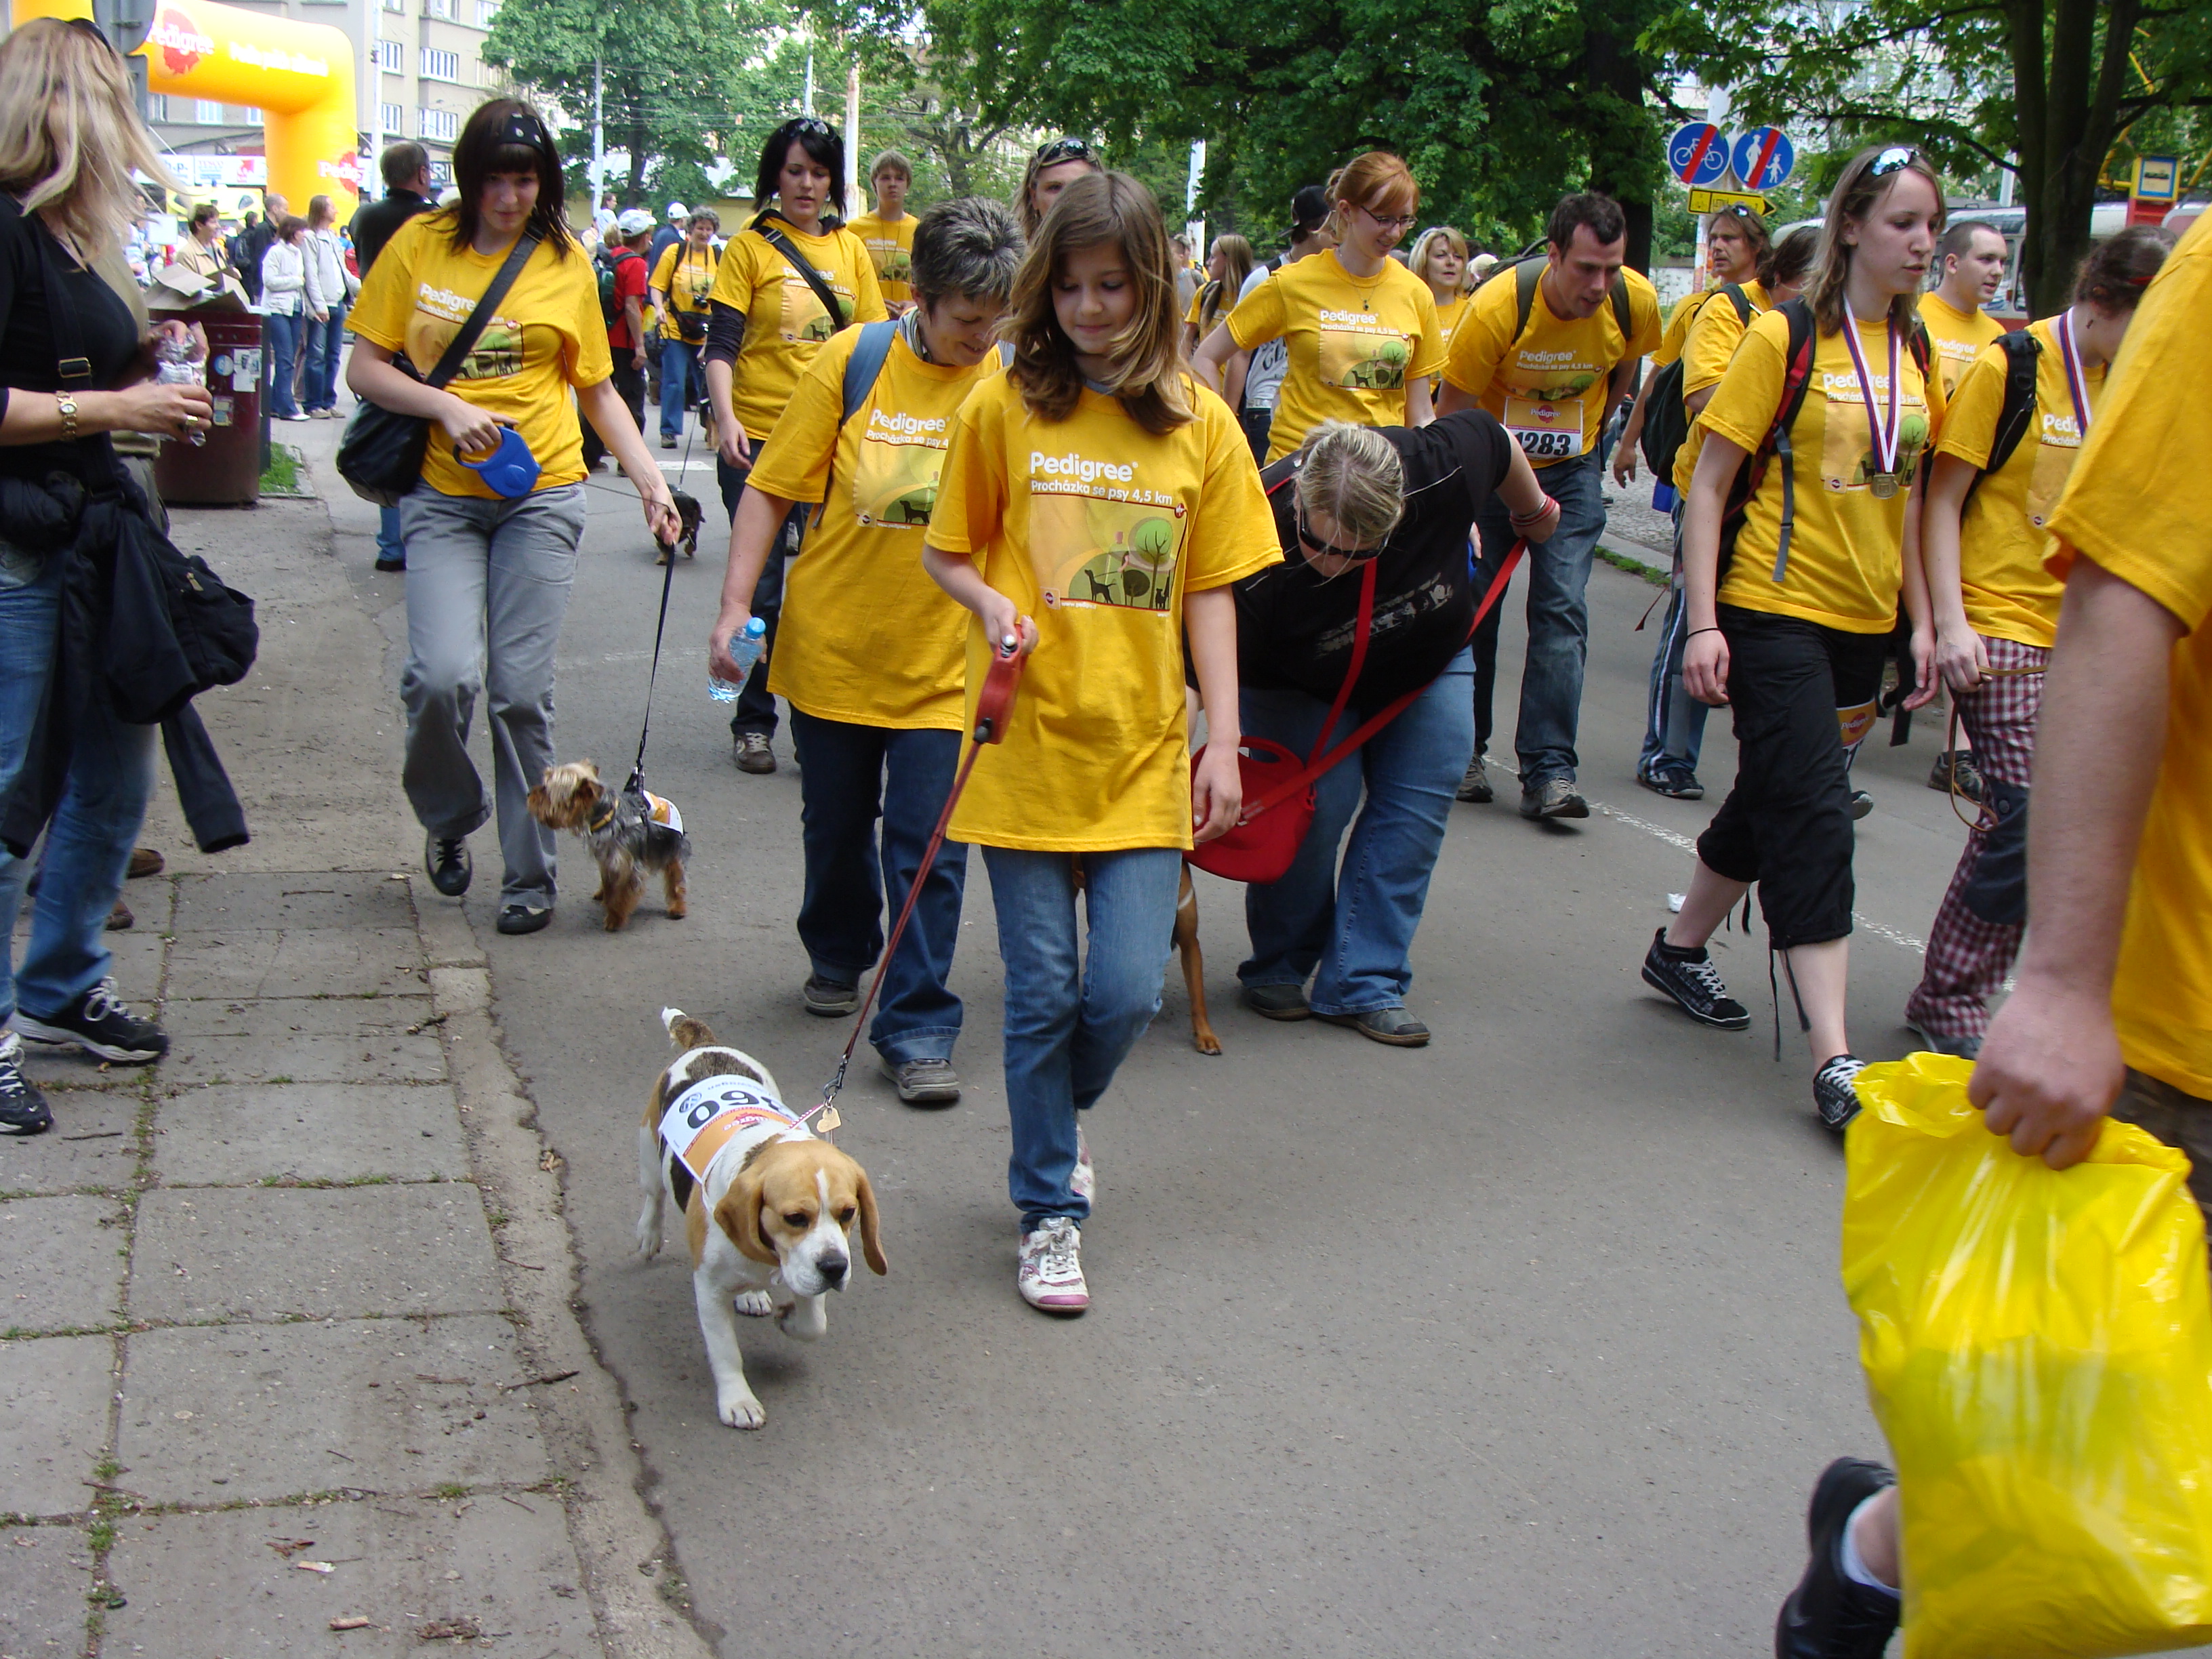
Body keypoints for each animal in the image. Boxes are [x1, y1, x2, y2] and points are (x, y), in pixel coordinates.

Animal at [522, 765, 685, 937]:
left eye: (546, 790)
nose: (529, 794)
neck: (608, 817)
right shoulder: (607, 861)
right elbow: (610, 887)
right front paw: (608, 903)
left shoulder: (629, 868)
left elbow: (621, 897)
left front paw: (615, 919)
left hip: (673, 849)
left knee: (676, 880)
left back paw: (677, 907)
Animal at [637, 1008, 884, 1433]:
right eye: (795, 1218)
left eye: (848, 1212)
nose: (836, 1268)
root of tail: (706, 1045)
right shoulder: (708, 1290)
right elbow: (726, 1354)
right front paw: (737, 1401)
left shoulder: (806, 1272)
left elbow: (814, 1323)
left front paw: (790, 1321)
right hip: (650, 1153)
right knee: (655, 1196)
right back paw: (650, 1235)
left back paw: (751, 1293)